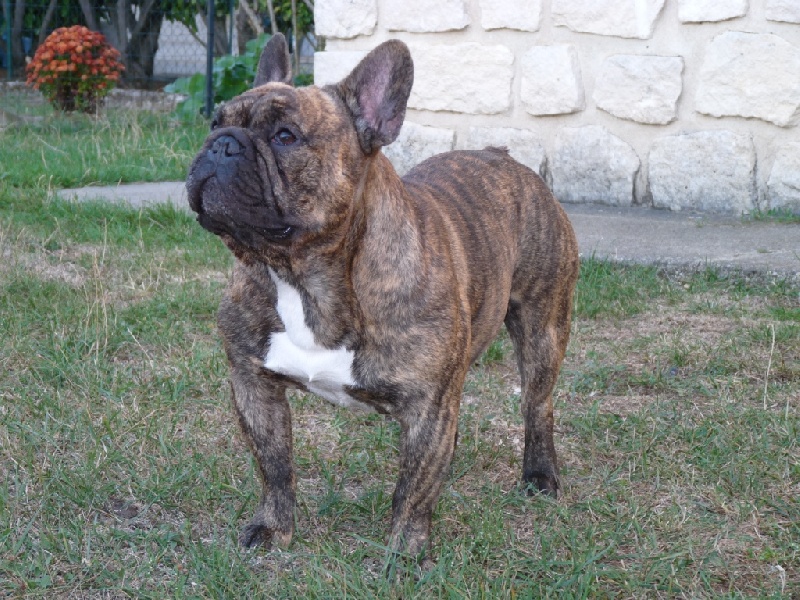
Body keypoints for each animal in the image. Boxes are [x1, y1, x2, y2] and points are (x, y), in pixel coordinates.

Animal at [186, 33, 579, 562]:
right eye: (215, 121)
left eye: (286, 136)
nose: (221, 144)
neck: (304, 277)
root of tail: (506, 157)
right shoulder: (252, 383)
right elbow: (274, 466)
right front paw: (274, 528)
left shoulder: (429, 408)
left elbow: (412, 490)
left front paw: (405, 553)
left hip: (543, 328)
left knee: (538, 404)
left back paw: (539, 475)